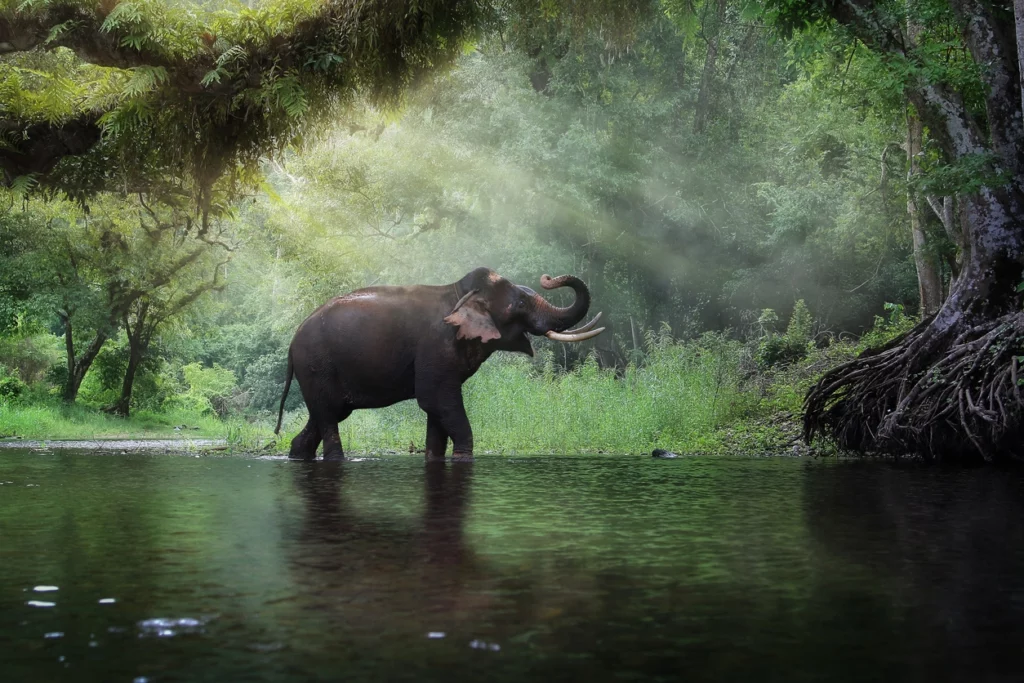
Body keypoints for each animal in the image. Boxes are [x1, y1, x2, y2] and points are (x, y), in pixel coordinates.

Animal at [275, 267, 604, 460]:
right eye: (520, 304)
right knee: (329, 418)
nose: (548, 279)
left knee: (324, 415)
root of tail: (291, 344)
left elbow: (437, 411)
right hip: (317, 365)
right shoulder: (436, 346)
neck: (459, 293)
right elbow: (437, 400)